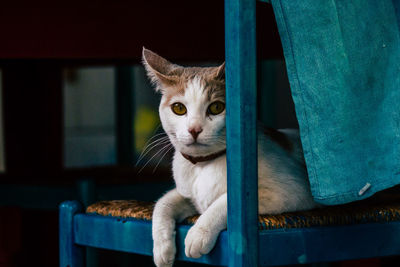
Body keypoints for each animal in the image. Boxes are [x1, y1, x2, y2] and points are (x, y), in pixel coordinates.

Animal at [142, 48, 318, 267]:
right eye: (179, 108)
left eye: (216, 107)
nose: (194, 129)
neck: (204, 166)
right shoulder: (186, 195)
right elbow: (163, 203)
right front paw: (161, 249)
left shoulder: (292, 189)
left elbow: (227, 202)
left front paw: (198, 234)